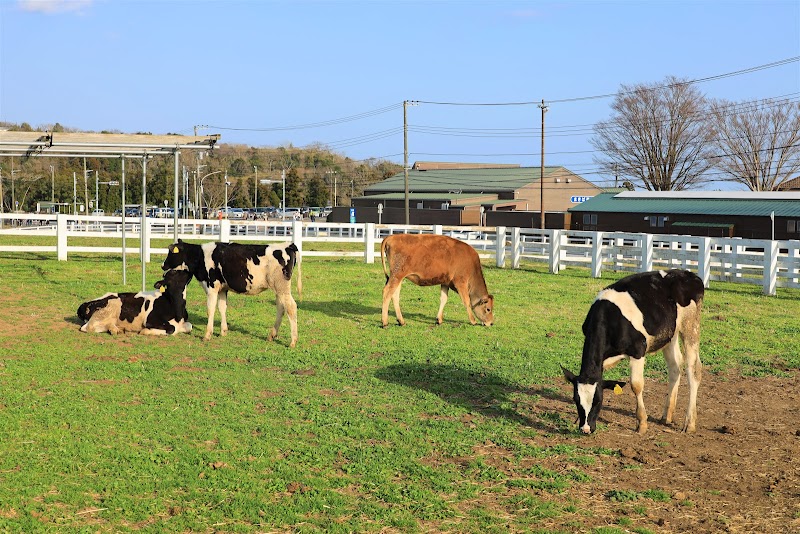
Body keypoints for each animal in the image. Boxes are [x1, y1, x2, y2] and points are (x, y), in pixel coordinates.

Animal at [161, 241, 302, 350]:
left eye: (171, 252)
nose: (162, 265)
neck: (200, 256)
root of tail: (288, 245)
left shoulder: (211, 287)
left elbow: (210, 310)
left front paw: (207, 335)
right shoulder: (223, 289)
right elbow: (222, 307)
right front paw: (223, 331)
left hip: (282, 287)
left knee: (291, 307)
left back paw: (293, 341)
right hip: (279, 289)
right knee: (281, 308)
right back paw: (272, 335)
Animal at [560, 270, 704, 438]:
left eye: (598, 401)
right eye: (576, 400)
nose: (586, 429)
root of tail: (687, 273)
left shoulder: (638, 350)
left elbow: (636, 385)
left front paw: (641, 424)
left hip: (691, 325)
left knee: (693, 370)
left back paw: (689, 423)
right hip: (670, 334)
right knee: (675, 367)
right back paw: (666, 416)